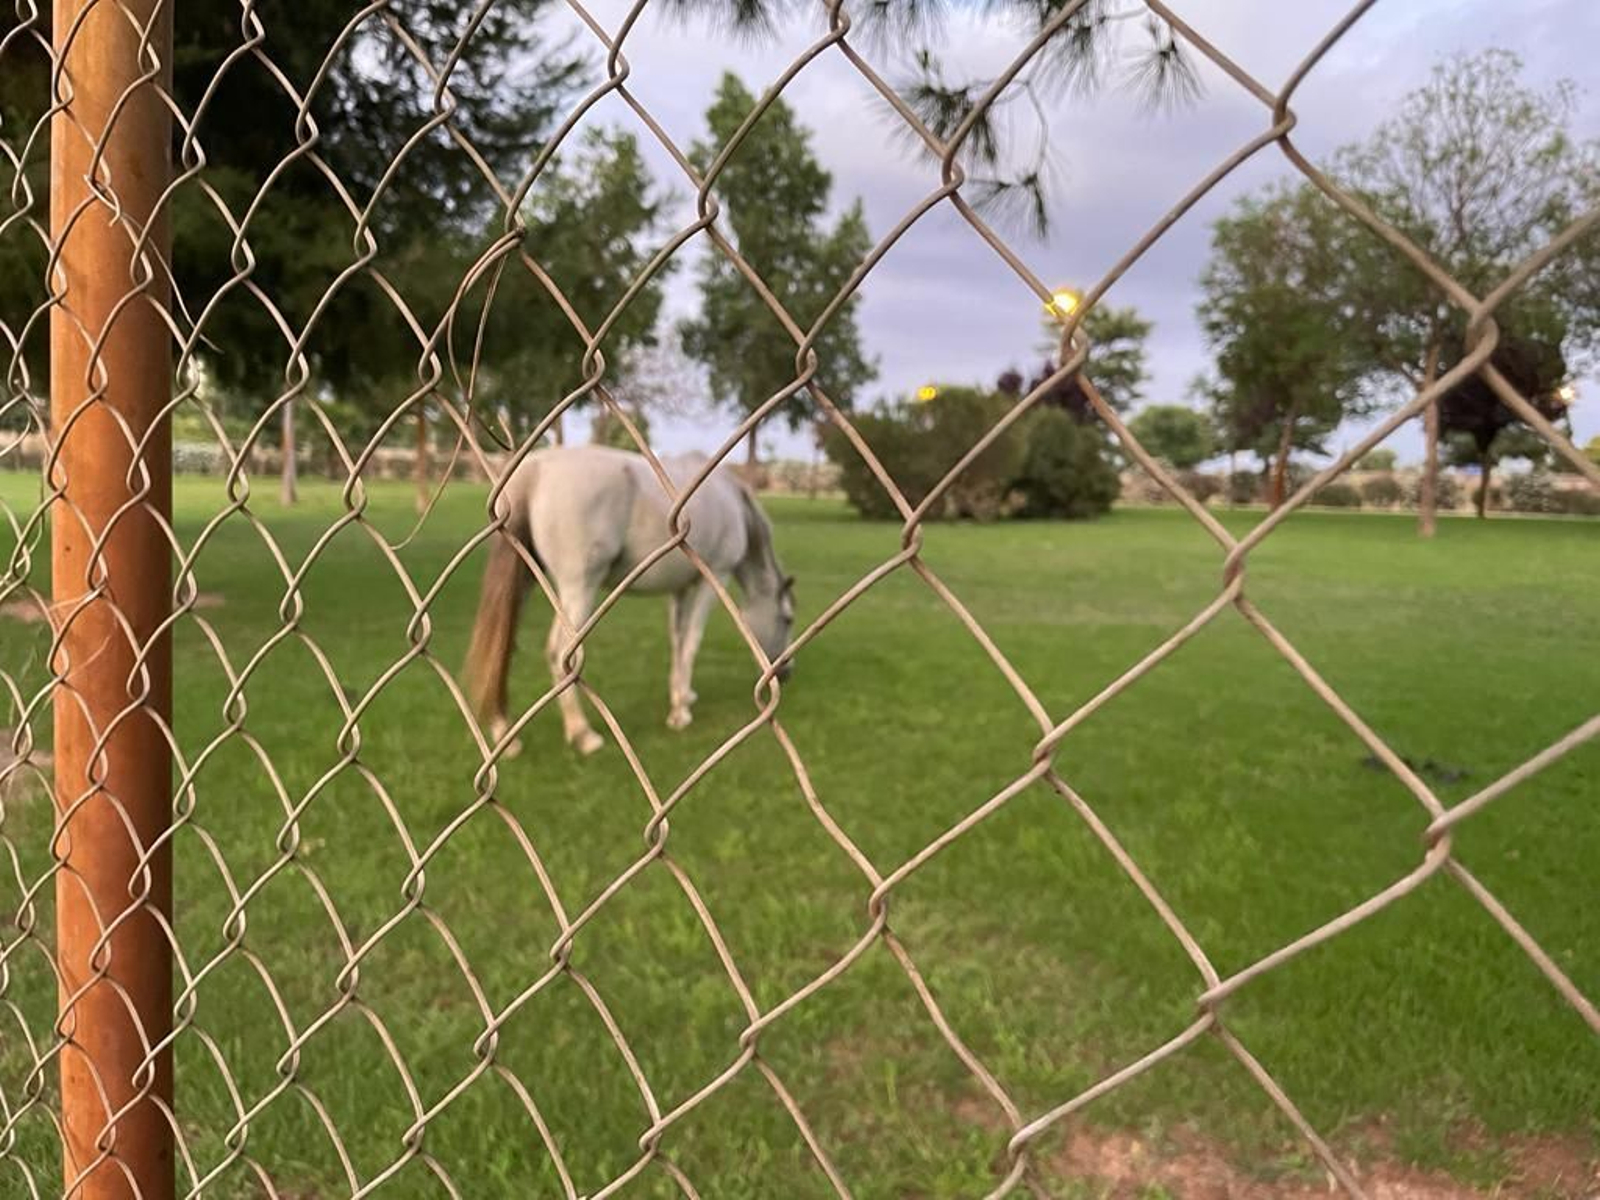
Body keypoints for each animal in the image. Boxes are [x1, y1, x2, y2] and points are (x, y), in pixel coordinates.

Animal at [463, 445, 796, 756]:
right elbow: (691, 642)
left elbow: (678, 640)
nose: (786, 673)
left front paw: (683, 696)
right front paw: (680, 712)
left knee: (503, 647)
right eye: (787, 619)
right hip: (579, 588)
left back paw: (504, 732)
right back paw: (582, 734)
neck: (733, 501)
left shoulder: (680, 589)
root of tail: (535, 469)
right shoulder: (712, 579)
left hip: (527, 581)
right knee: (559, 652)